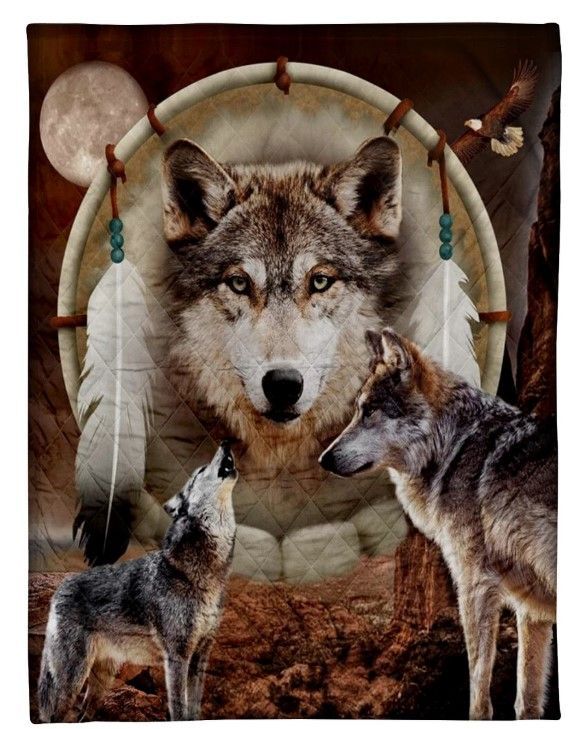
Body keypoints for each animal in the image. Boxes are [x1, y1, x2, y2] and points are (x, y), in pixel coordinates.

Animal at [38, 442, 237, 722]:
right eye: (201, 470)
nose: (225, 443)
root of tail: (60, 588)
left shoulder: (200, 657)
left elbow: (194, 710)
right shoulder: (177, 657)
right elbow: (179, 710)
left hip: (100, 683)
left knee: (82, 715)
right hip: (71, 679)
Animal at [319, 328, 557, 720]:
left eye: (369, 411)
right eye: (357, 411)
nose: (324, 459)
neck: (452, 446)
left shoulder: (475, 588)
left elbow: (479, 694)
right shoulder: (531, 609)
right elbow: (527, 702)